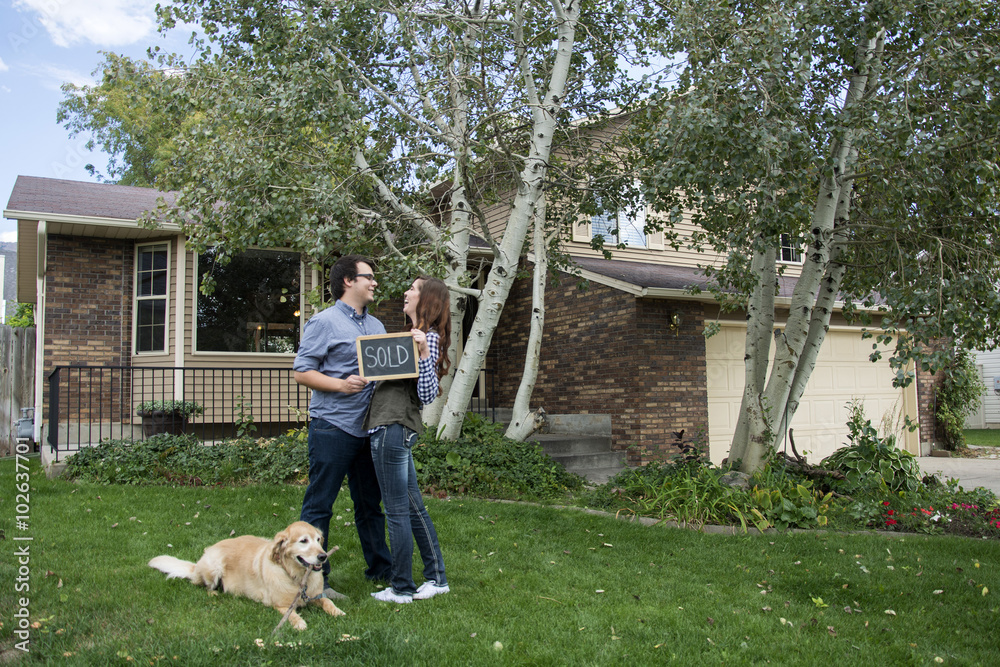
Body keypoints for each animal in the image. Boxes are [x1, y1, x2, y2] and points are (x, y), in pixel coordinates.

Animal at [146, 520, 346, 632]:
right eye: (303, 541)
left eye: (318, 540)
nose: (323, 556)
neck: (297, 576)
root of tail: (197, 566)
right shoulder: (280, 605)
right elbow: (292, 615)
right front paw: (300, 624)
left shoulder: (316, 595)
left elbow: (328, 601)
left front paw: (338, 612)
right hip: (213, 566)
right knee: (205, 585)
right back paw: (214, 592)